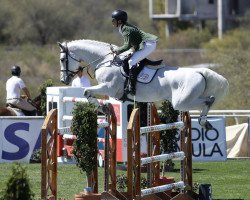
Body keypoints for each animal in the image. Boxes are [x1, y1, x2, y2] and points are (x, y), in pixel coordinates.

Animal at [58, 39, 229, 129]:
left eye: (62, 59)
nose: (63, 80)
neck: (105, 61)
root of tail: (199, 72)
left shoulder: (109, 88)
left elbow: (87, 92)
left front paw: (104, 108)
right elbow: (88, 93)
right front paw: (104, 108)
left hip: (181, 102)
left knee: (209, 100)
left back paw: (203, 121)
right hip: (188, 98)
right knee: (208, 99)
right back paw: (205, 123)